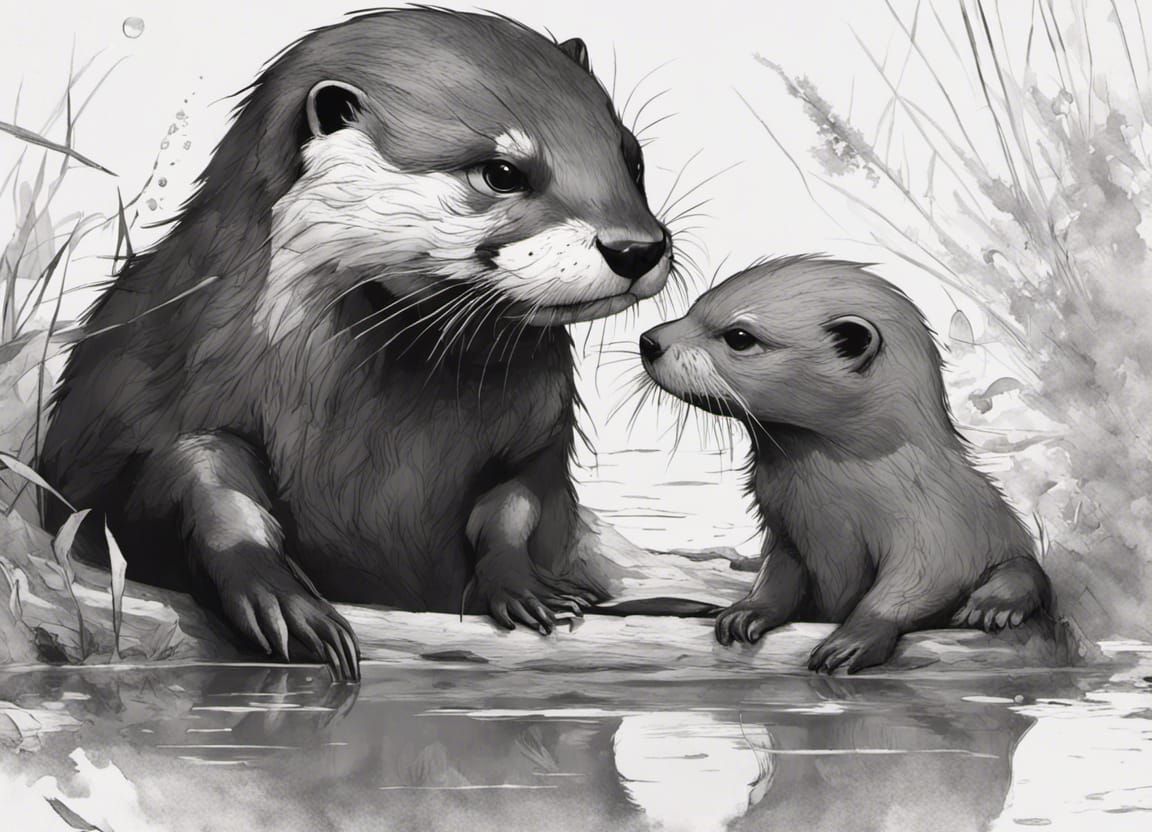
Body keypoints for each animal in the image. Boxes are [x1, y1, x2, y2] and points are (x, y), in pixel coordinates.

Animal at [40, 9, 673, 680]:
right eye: (502, 173)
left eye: (631, 159)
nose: (637, 248)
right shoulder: (164, 392)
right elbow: (200, 487)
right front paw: (284, 601)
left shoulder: (535, 430)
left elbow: (517, 505)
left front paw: (523, 584)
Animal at [639, 256, 1052, 673]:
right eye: (693, 307)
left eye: (739, 336)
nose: (649, 341)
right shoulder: (784, 530)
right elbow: (777, 578)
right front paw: (746, 611)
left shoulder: (937, 522)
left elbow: (920, 581)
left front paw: (853, 640)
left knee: (1028, 572)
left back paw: (992, 607)